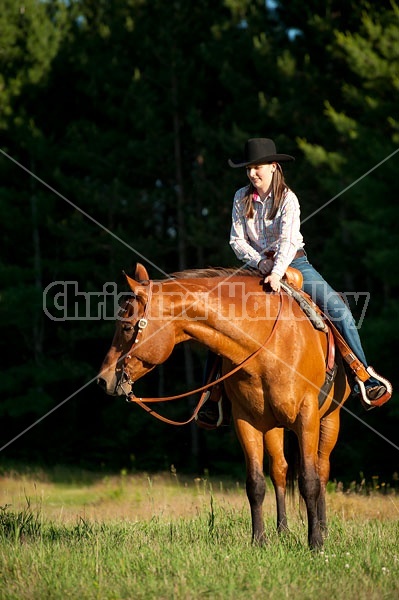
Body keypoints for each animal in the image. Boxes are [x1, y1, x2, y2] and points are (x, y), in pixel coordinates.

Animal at [98, 262, 352, 548]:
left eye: (127, 327)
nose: (103, 380)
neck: (269, 344)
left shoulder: (307, 417)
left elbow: (309, 480)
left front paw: (316, 543)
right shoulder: (246, 420)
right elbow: (255, 484)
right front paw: (259, 541)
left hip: (329, 419)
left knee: (321, 470)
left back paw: (323, 528)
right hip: (274, 427)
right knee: (279, 470)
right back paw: (283, 530)